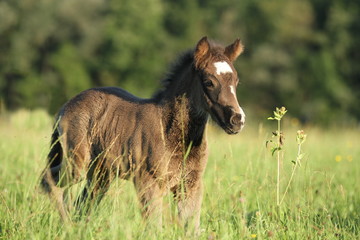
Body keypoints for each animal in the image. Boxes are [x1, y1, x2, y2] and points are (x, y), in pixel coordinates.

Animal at [40, 37, 246, 231]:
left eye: (236, 81)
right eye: (209, 82)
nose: (237, 119)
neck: (172, 133)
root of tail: (66, 105)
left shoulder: (191, 184)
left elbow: (191, 227)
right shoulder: (148, 182)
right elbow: (154, 227)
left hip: (100, 174)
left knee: (84, 203)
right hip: (76, 163)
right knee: (49, 180)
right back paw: (67, 226)